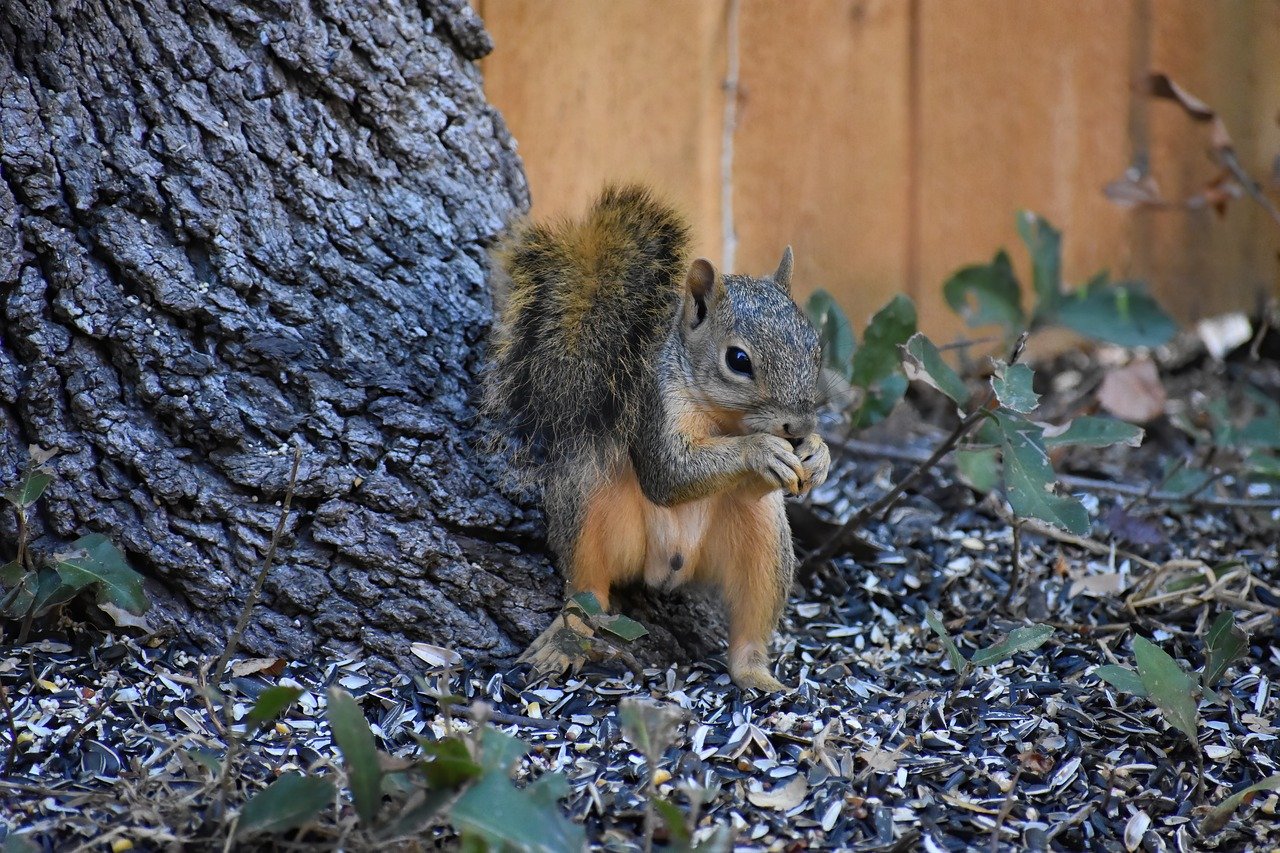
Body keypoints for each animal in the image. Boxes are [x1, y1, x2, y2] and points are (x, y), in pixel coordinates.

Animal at [481, 185, 829, 691]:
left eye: (815, 347)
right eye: (738, 360)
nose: (800, 428)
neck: (725, 420)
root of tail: (667, 570)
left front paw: (819, 455)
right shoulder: (653, 405)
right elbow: (668, 474)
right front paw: (761, 450)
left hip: (760, 540)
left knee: (753, 614)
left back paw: (756, 674)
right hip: (591, 502)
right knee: (586, 588)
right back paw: (567, 638)